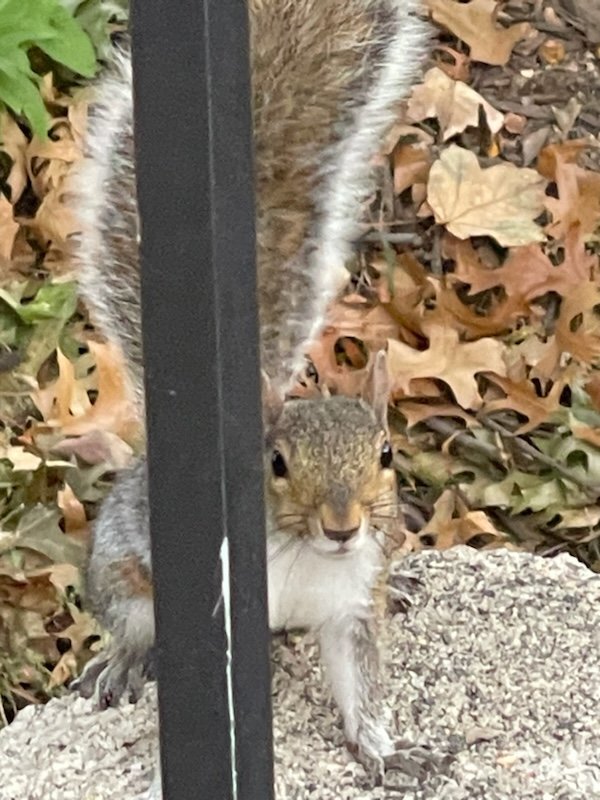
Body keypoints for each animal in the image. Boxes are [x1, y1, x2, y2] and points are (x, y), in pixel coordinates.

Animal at [71, 0, 430, 785]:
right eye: (277, 464)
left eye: (387, 454)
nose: (343, 525)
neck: (306, 557)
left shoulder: (351, 606)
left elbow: (360, 683)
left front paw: (386, 750)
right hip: (122, 562)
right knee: (130, 616)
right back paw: (124, 658)